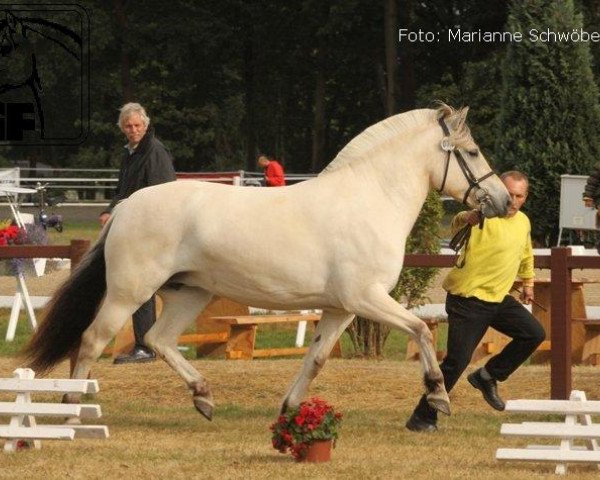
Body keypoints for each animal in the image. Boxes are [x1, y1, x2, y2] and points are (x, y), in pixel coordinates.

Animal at [24, 104, 510, 420]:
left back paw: (204, 397)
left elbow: (315, 359)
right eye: (470, 152)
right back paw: (73, 408)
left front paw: (289, 410)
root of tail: (125, 206)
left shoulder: (342, 309)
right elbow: (421, 331)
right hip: (129, 292)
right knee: (93, 341)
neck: (369, 200)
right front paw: (438, 396)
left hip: (190, 293)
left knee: (160, 340)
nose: (503, 200)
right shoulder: (366, 299)